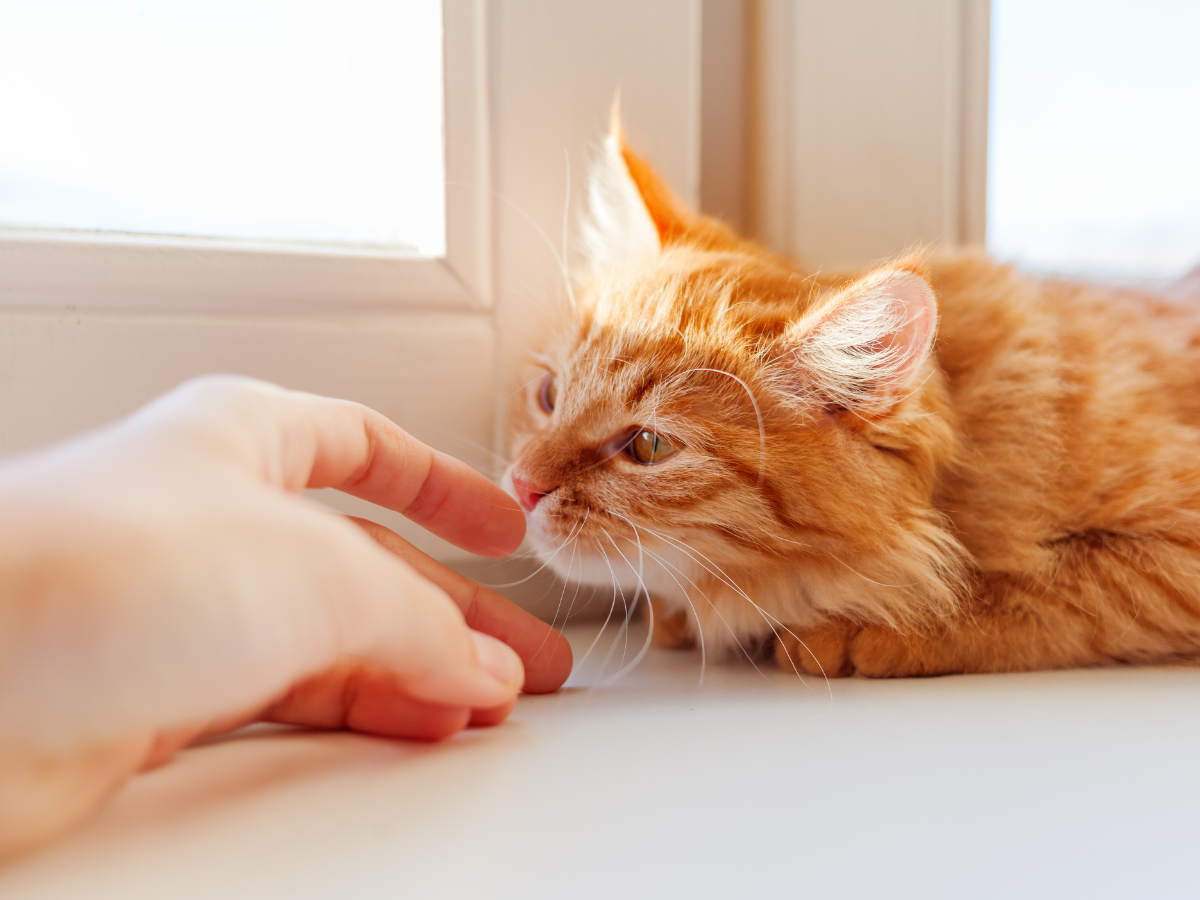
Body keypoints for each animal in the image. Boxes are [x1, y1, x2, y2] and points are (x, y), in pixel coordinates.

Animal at [501, 114, 1200, 676]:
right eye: (549, 395)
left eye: (648, 446)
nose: (522, 486)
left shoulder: (1171, 546)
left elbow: (1043, 590)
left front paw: (868, 628)